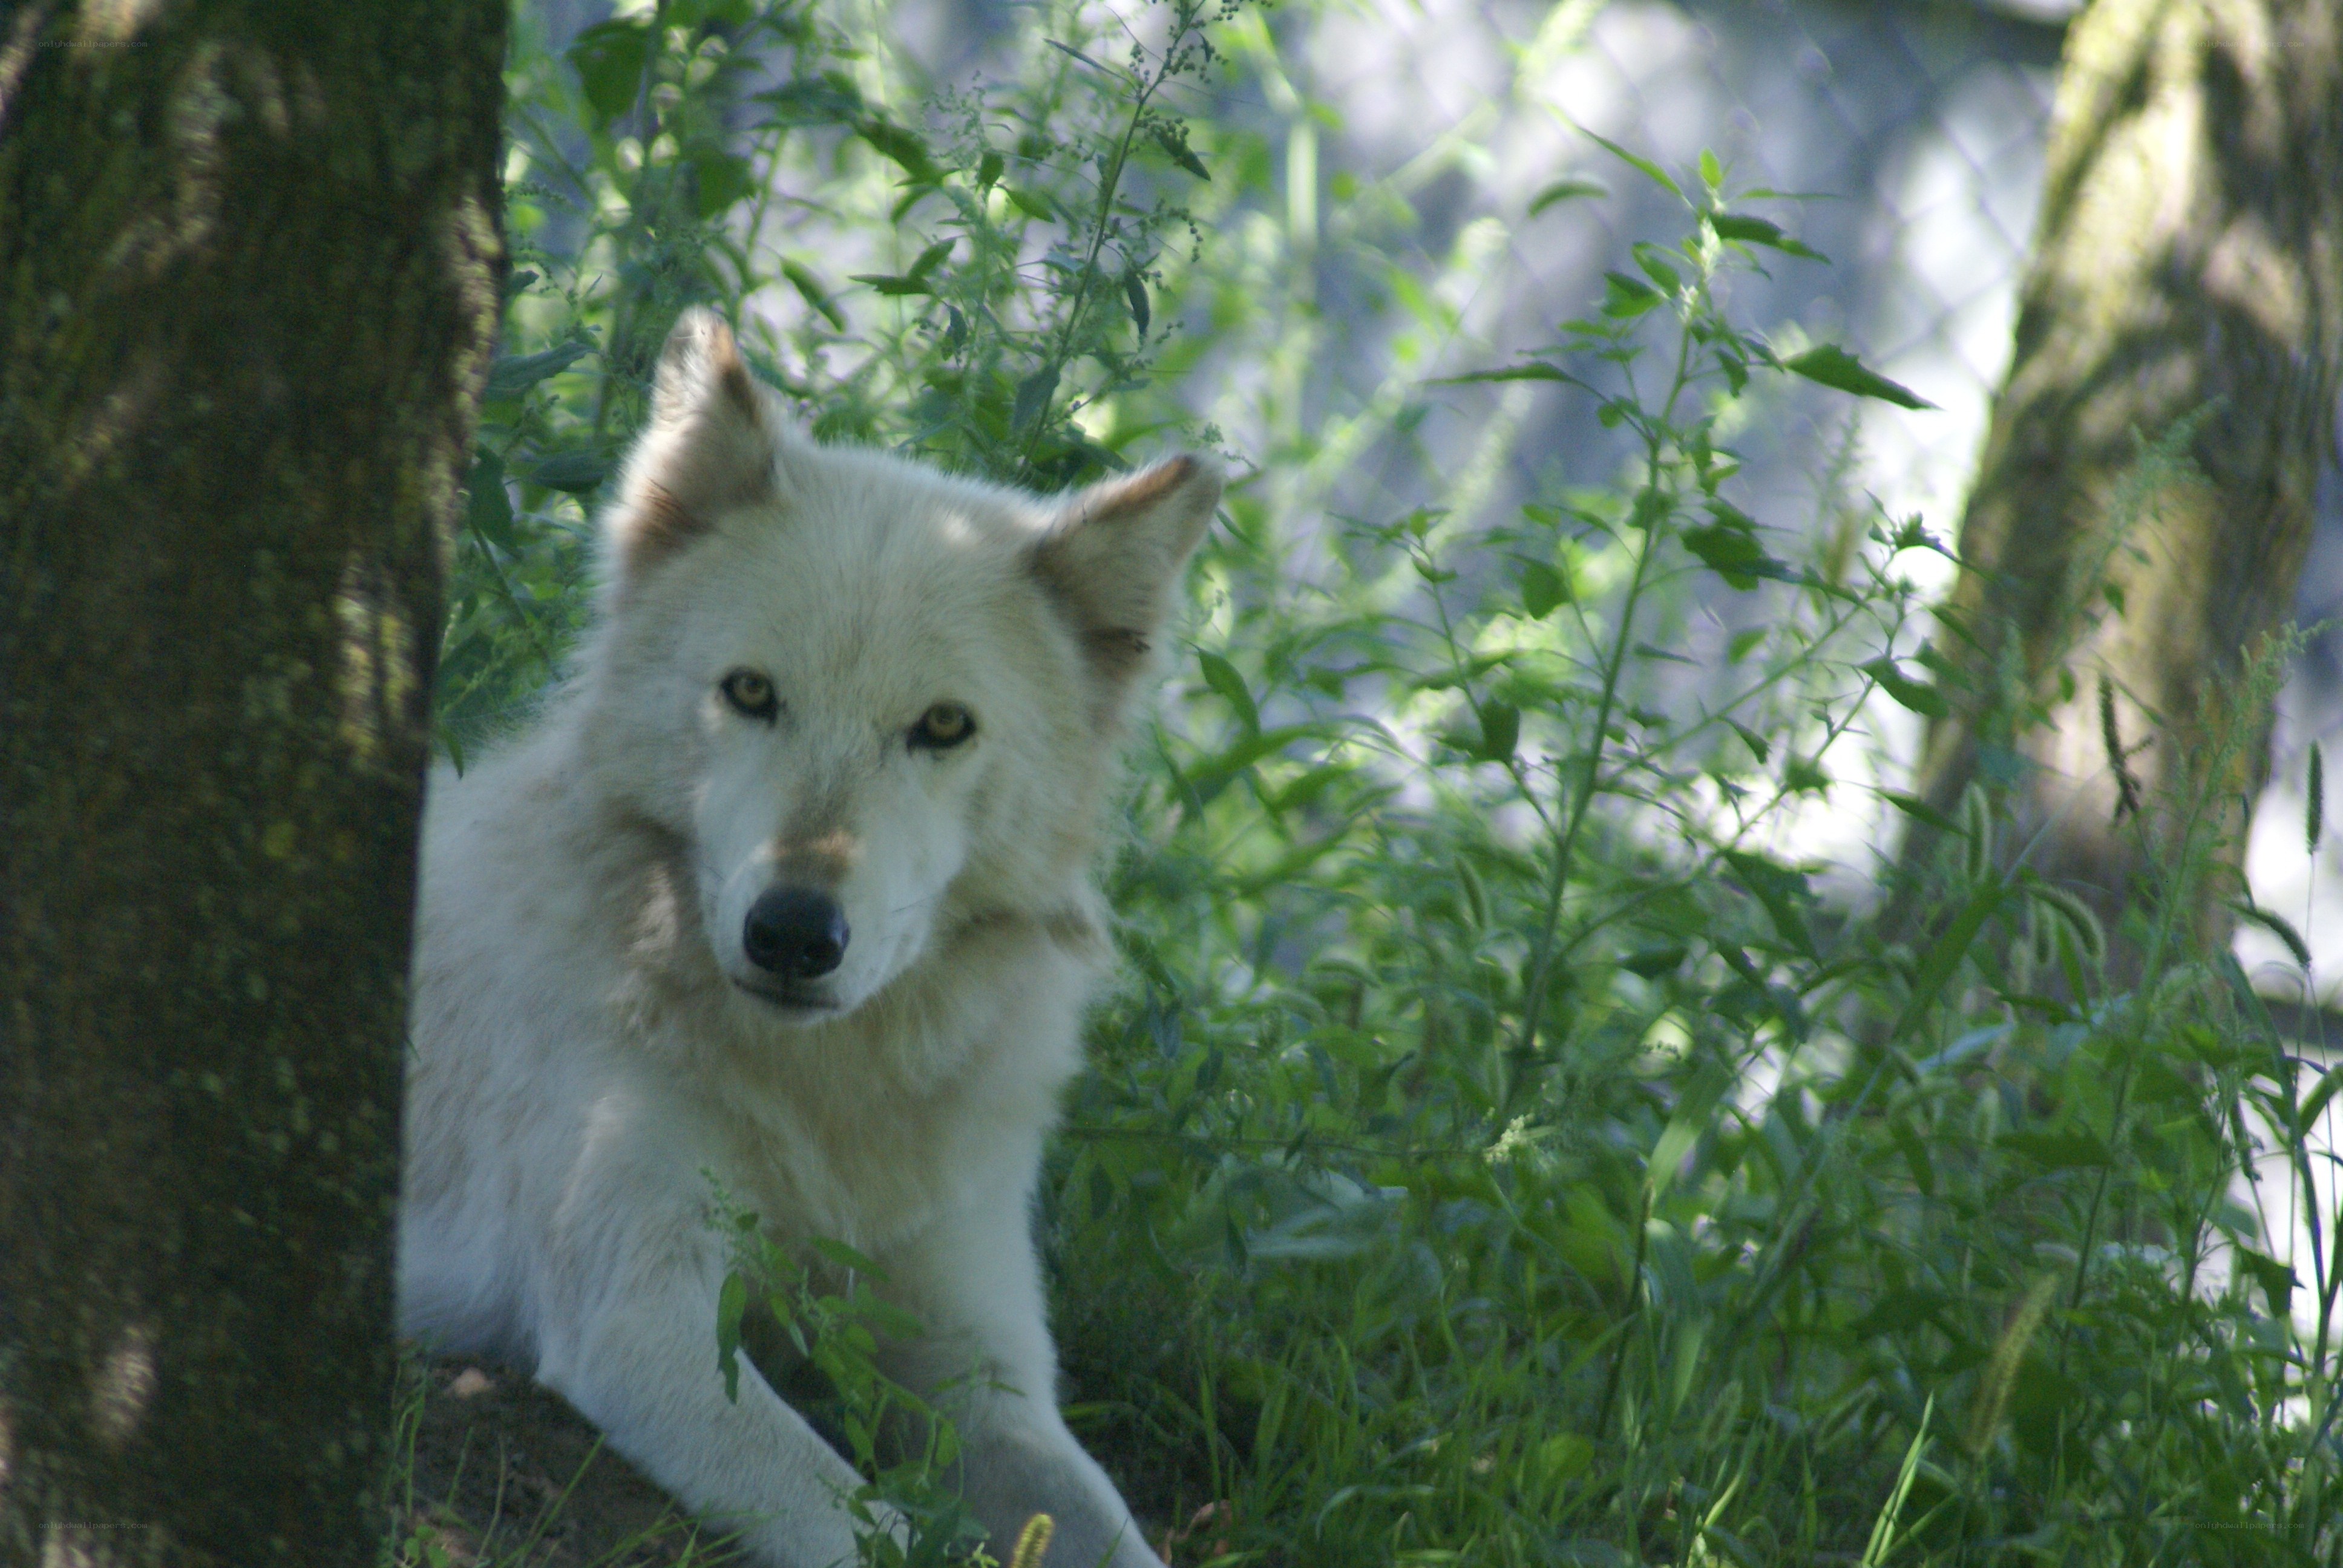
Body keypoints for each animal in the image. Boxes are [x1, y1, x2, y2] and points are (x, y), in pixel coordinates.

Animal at [396, 308, 1217, 1568]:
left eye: (942, 726)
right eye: (749, 693)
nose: (791, 933)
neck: (827, 1098)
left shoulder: (986, 1370)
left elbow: (1104, 1529)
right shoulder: (647, 1320)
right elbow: (870, 1527)